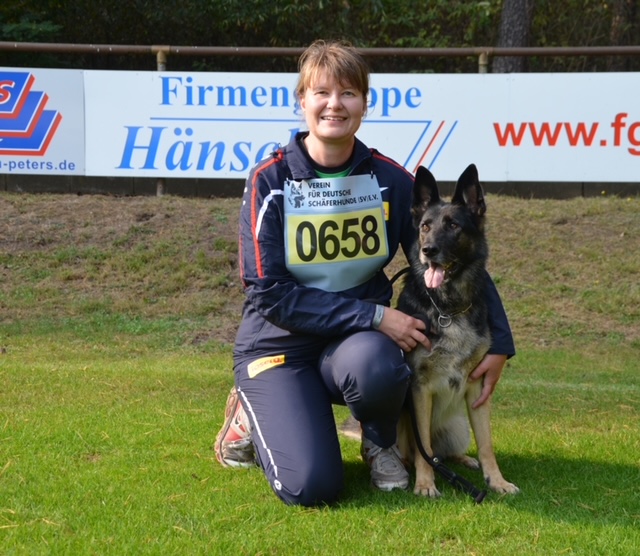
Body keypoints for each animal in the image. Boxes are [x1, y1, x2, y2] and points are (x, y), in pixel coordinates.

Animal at [396, 163, 520, 498]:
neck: (447, 309)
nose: (428, 250)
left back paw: (462, 461)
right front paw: (426, 484)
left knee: (445, 451)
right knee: (417, 452)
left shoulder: (477, 387)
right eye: (425, 226)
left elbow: (487, 443)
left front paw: (497, 481)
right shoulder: (420, 389)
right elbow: (423, 447)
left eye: (453, 225)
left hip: (457, 425)